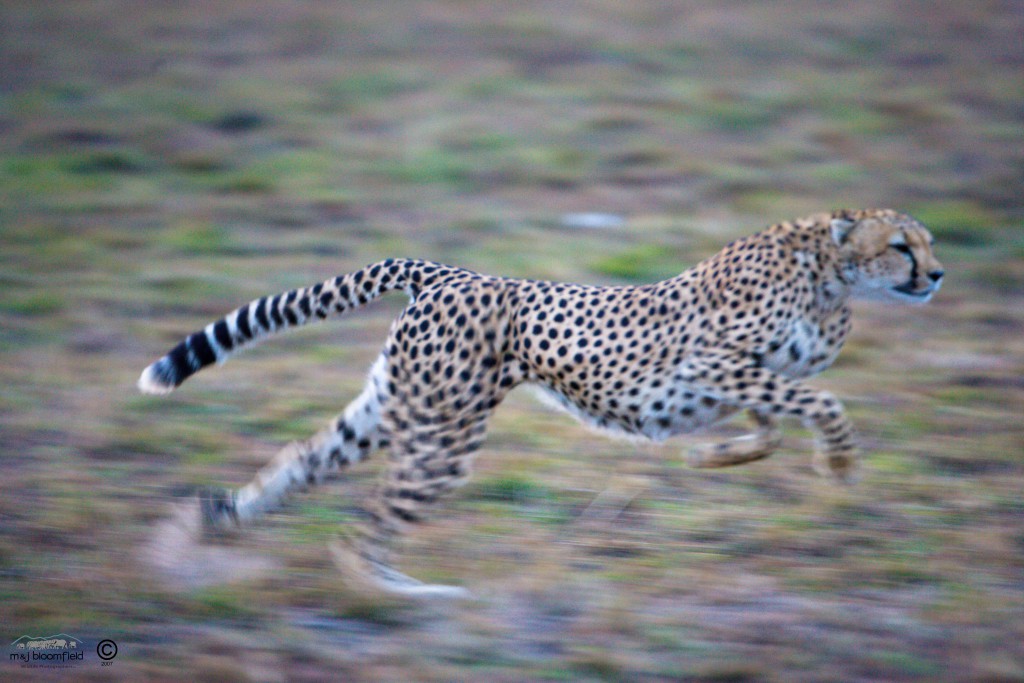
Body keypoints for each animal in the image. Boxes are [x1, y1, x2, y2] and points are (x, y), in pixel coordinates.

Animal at [138, 209, 942, 598]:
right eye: (901, 245)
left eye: (926, 243)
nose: (936, 274)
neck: (831, 272)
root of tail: (449, 270)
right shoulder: (713, 361)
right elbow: (822, 399)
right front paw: (839, 465)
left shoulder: (738, 377)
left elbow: (775, 419)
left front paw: (718, 456)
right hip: (444, 431)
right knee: (363, 526)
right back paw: (399, 594)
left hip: (397, 405)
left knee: (307, 456)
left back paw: (223, 516)